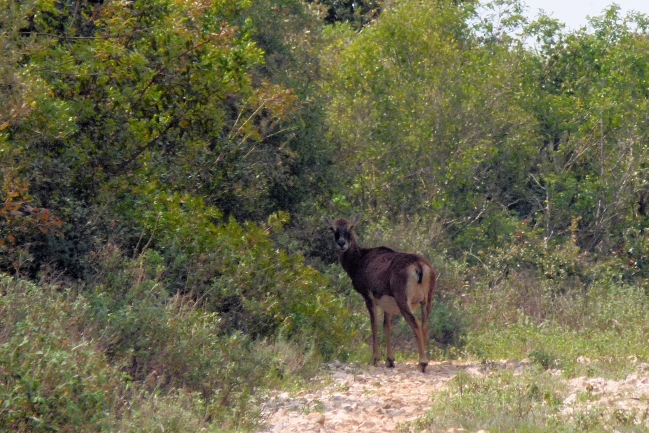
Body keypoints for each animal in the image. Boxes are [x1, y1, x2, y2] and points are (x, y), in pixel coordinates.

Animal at [324, 213, 436, 372]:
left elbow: (374, 324)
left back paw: (422, 363)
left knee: (416, 323)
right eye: (332, 229)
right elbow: (386, 327)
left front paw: (374, 359)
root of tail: (419, 266)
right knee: (425, 324)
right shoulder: (387, 304)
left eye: (351, 227)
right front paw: (390, 361)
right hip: (426, 301)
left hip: (403, 301)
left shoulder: (369, 297)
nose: (341, 243)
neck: (360, 260)